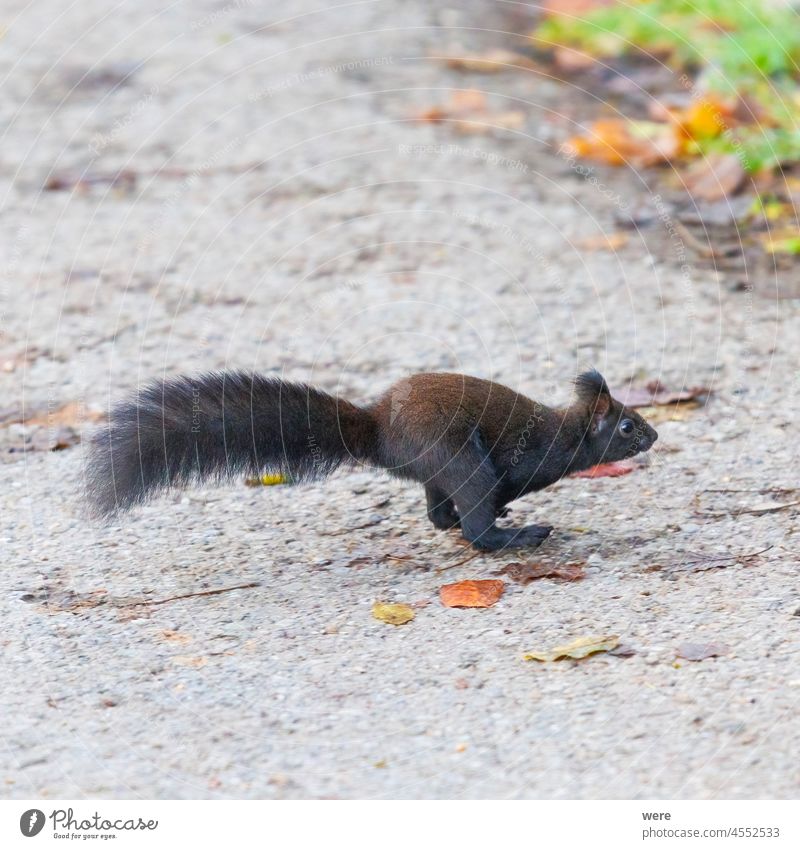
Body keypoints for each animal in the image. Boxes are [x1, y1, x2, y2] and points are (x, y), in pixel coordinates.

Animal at [87, 370, 656, 548]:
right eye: (627, 425)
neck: (563, 434)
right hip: (459, 457)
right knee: (473, 521)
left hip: (440, 466)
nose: (654, 436)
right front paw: (507, 515)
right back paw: (514, 535)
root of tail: (380, 431)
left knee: (437, 509)